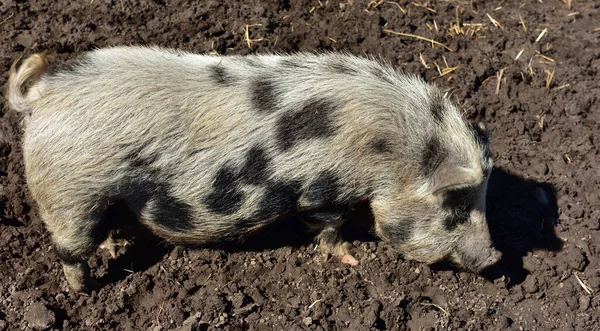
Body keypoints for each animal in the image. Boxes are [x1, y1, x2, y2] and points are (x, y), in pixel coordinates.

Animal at [5, 47, 502, 294]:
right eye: (455, 209)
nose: (495, 259)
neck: (389, 150)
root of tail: (41, 96)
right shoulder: (324, 189)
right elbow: (328, 226)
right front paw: (350, 259)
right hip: (71, 189)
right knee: (70, 249)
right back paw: (83, 292)